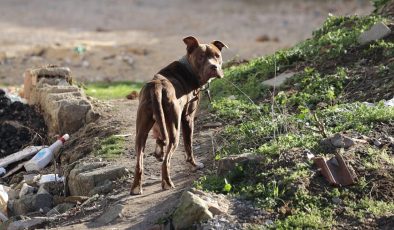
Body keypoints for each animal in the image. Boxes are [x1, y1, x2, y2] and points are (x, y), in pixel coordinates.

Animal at [131, 35, 226, 194]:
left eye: (217, 56)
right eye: (201, 57)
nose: (214, 67)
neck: (189, 68)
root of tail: (157, 87)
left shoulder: (159, 122)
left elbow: (160, 139)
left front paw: (158, 152)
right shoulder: (187, 118)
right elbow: (189, 146)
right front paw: (194, 165)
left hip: (141, 131)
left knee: (139, 162)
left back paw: (136, 187)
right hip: (175, 131)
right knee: (166, 161)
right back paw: (167, 183)